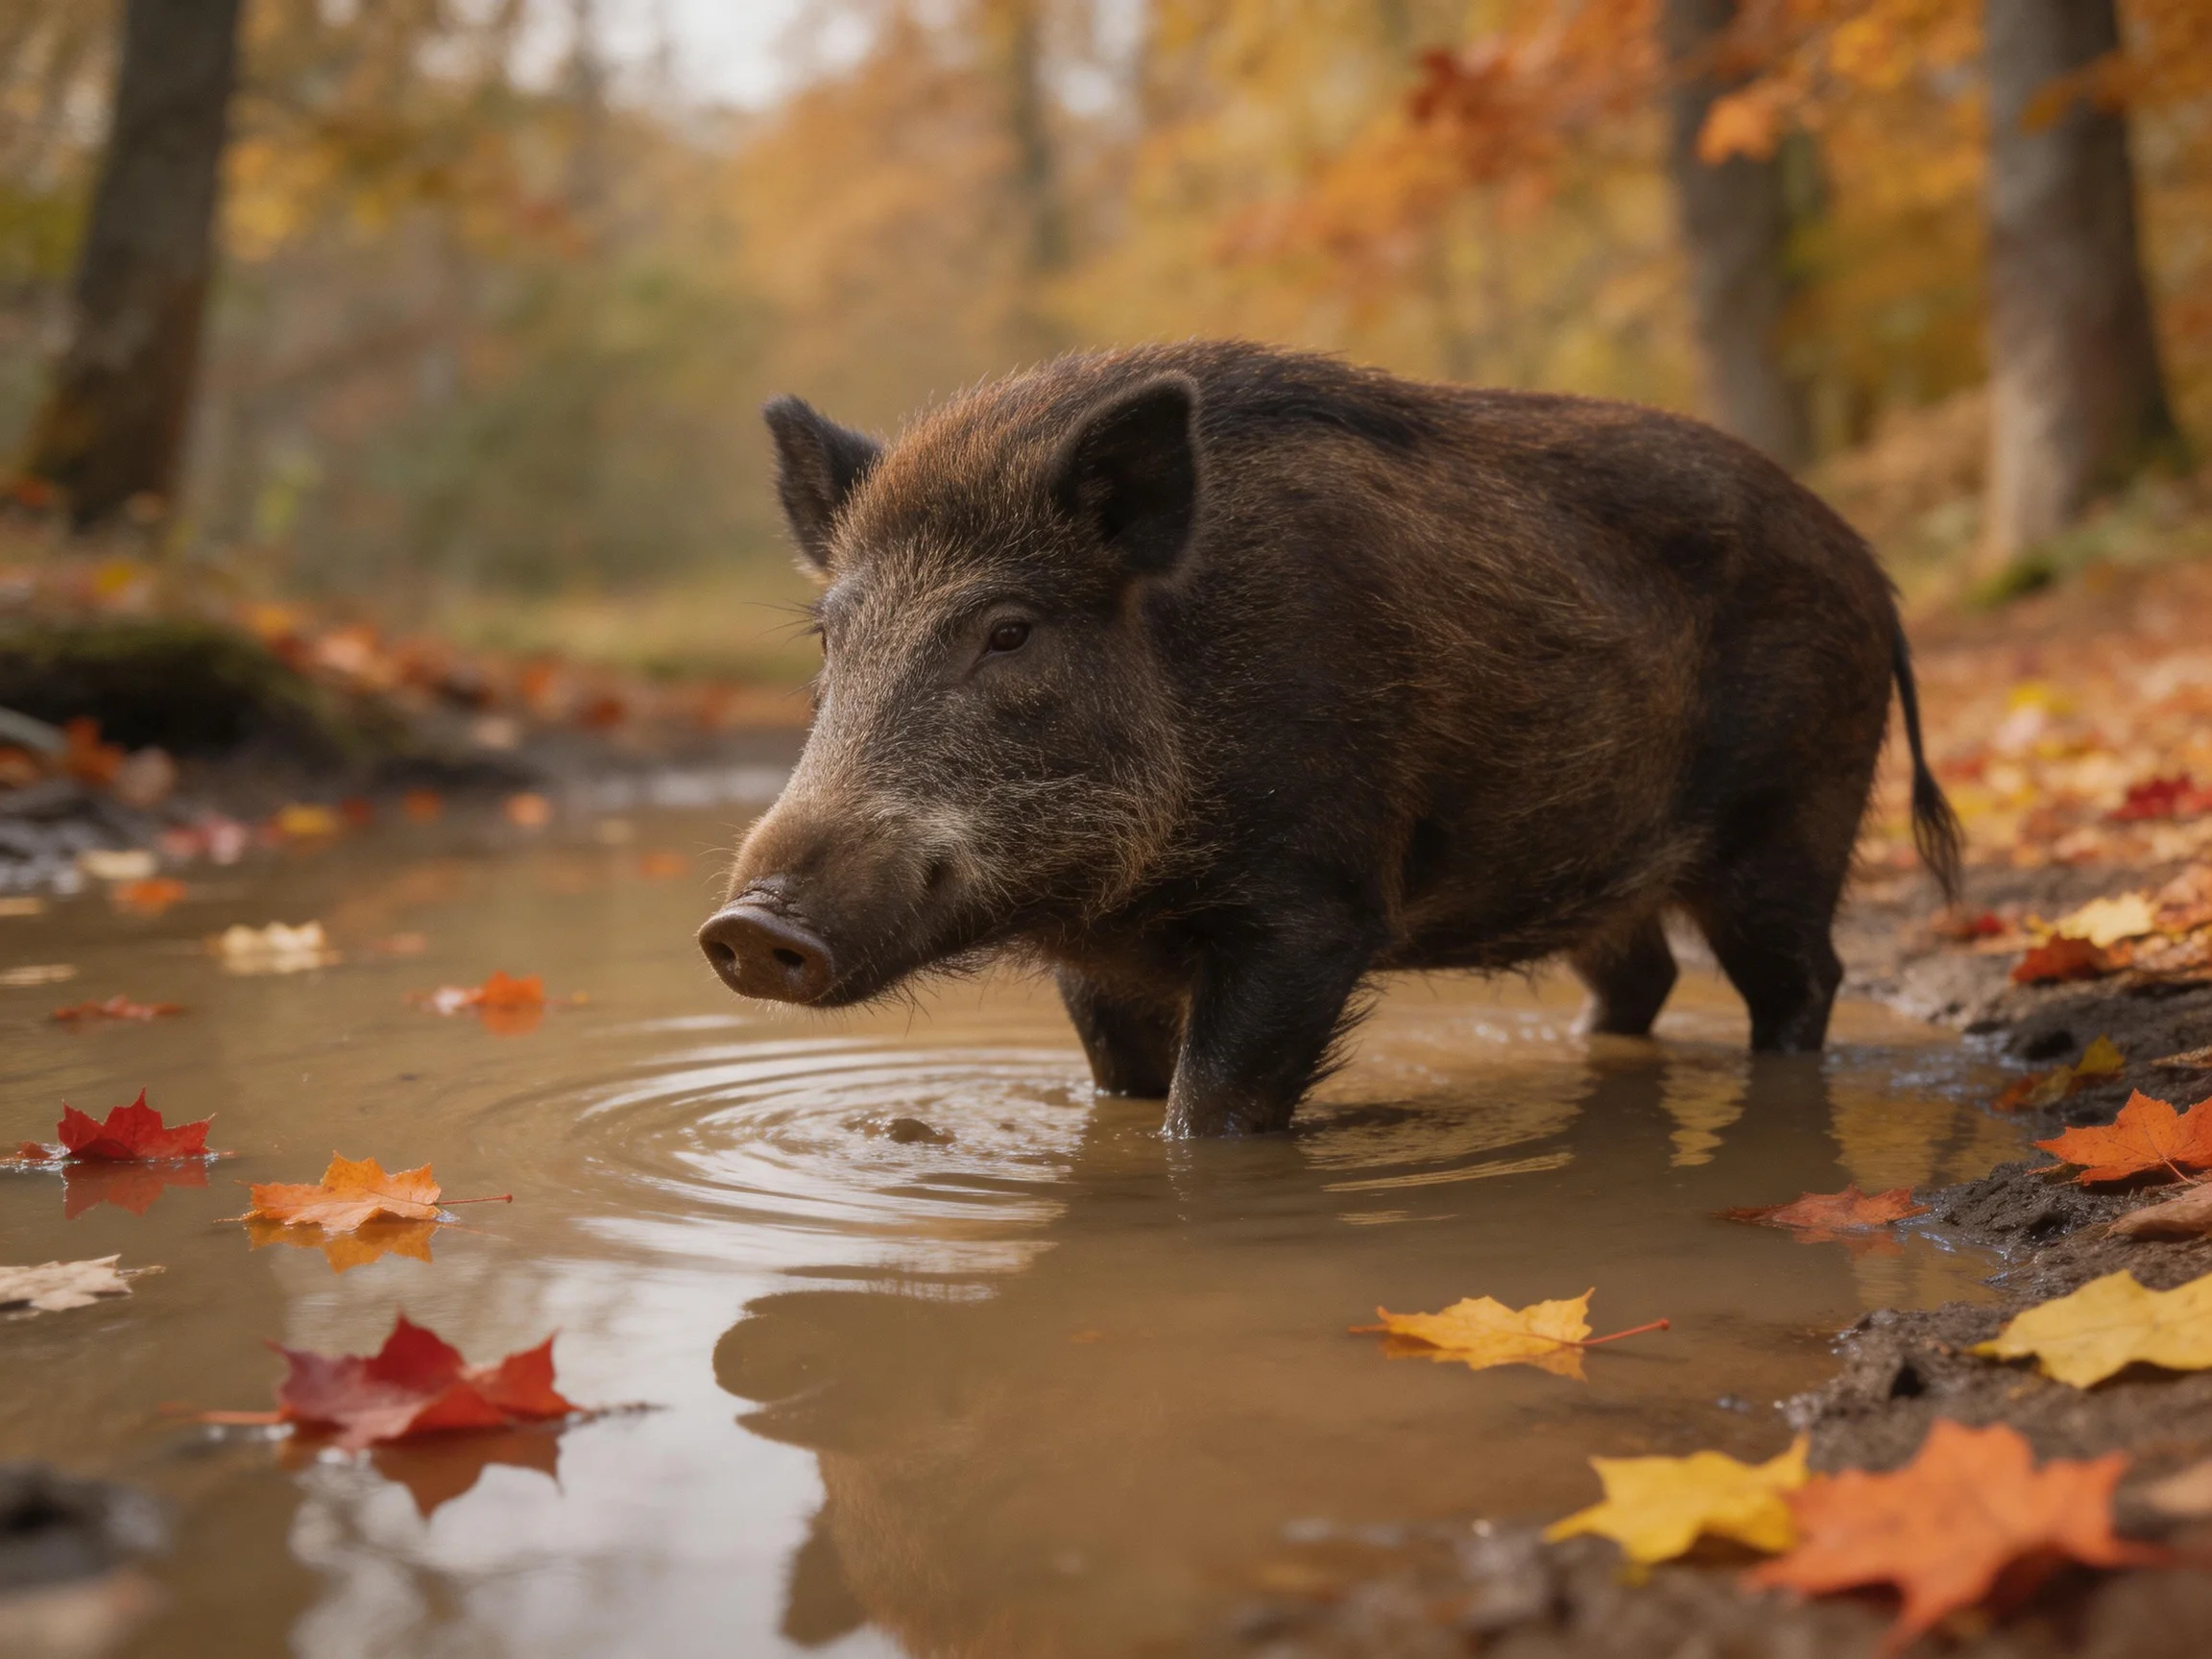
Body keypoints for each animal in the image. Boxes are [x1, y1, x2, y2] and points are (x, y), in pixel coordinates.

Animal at [697, 341, 1961, 1136]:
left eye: (1008, 631)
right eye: (830, 636)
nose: (752, 925)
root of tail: (1873, 572)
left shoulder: (1312, 907)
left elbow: (1208, 1111)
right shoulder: (1096, 962)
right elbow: (1119, 1089)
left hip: (1793, 823)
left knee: (1803, 980)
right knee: (1640, 975)